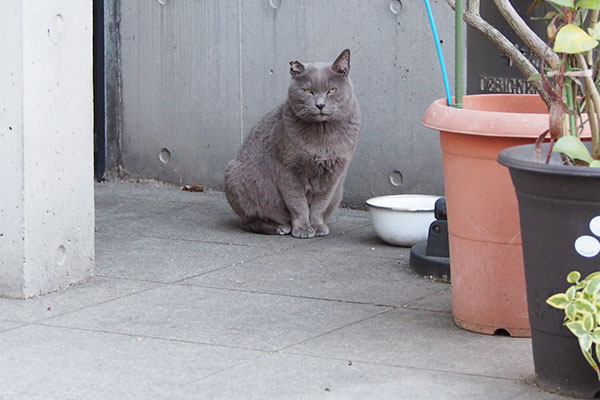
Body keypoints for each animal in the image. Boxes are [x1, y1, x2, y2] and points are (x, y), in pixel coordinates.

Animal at [223, 49, 358, 238]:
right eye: (307, 90)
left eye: (332, 90)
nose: (320, 105)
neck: (322, 133)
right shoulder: (286, 168)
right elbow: (297, 203)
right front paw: (302, 228)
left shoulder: (334, 174)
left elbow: (319, 205)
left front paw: (317, 226)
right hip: (235, 176)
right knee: (251, 221)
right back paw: (280, 227)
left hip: (338, 193)